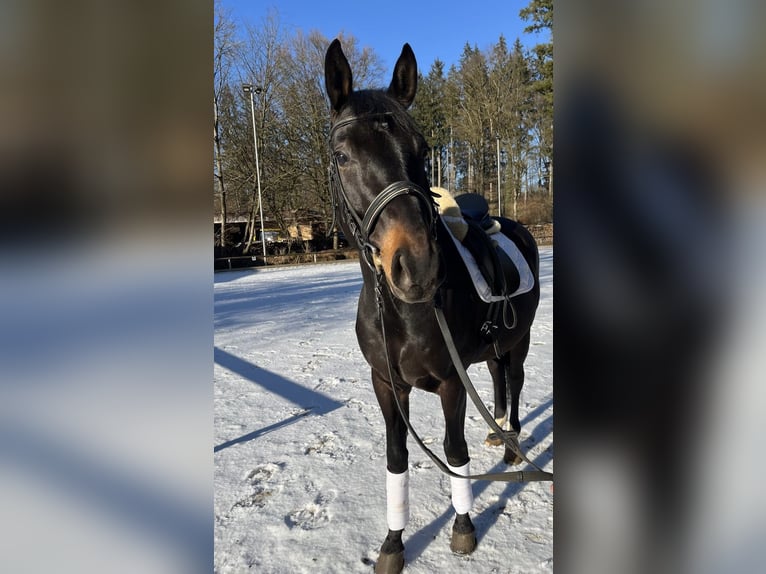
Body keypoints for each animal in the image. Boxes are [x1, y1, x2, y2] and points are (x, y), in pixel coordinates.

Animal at [328, 40, 544, 574]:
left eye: (423, 149)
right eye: (341, 156)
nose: (417, 266)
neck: (403, 314)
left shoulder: (450, 381)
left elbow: (454, 450)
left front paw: (463, 528)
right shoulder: (386, 384)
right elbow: (396, 458)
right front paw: (393, 543)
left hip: (521, 339)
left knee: (515, 380)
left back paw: (512, 443)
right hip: (490, 349)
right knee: (497, 377)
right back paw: (499, 433)